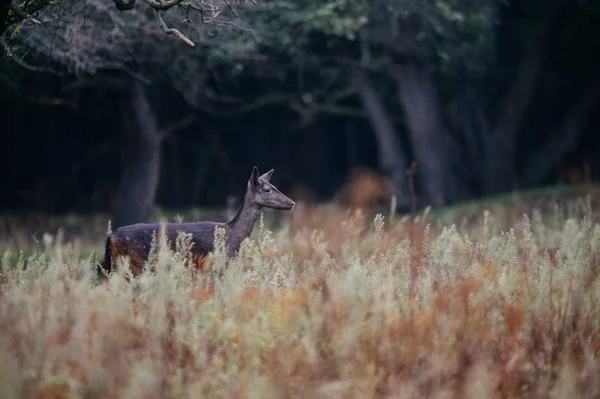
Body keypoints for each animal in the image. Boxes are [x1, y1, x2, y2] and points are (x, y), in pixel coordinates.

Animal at [99, 167, 296, 280]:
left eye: (274, 186)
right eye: (267, 189)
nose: (291, 203)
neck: (233, 236)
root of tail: (109, 237)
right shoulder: (215, 266)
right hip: (132, 264)